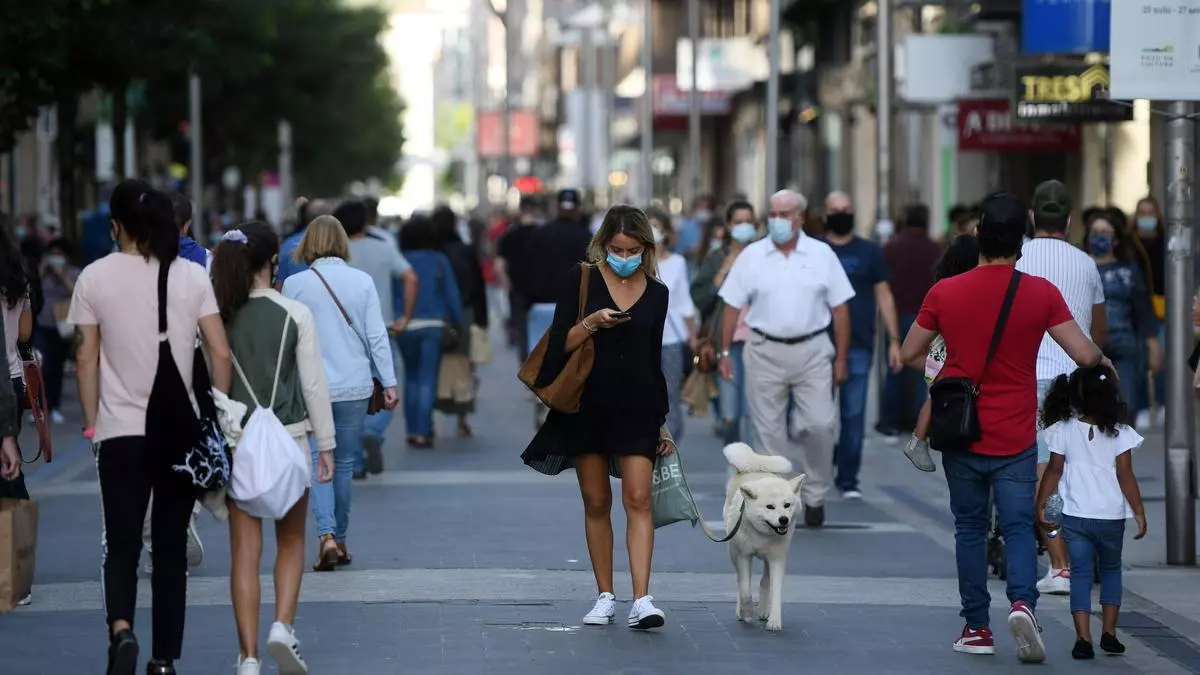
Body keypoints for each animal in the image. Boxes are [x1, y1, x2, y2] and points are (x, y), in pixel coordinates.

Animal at [723, 442, 805, 632]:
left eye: (787, 505)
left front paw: (774, 620)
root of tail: (756, 465)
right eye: (770, 507)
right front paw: (746, 613)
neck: (762, 535)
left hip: (768, 559)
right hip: (733, 552)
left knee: (764, 582)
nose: (783, 520)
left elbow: (775, 590)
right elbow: (745, 589)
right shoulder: (744, 556)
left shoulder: (777, 558)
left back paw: (763, 612)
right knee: (739, 581)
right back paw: (740, 611)